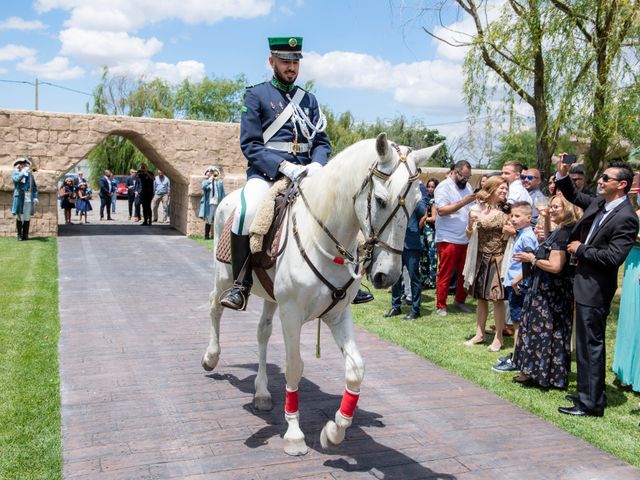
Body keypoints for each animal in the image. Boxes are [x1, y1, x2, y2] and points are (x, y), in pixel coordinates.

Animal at [202, 133, 442, 456]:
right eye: (381, 200)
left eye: (418, 204)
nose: (388, 276)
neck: (322, 236)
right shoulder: (291, 314)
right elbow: (294, 368)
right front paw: (294, 434)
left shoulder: (338, 314)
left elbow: (356, 370)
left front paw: (334, 432)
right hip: (224, 276)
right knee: (215, 308)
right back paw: (211, 357)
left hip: (270, 297)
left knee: (262, 332)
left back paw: (262, 392)